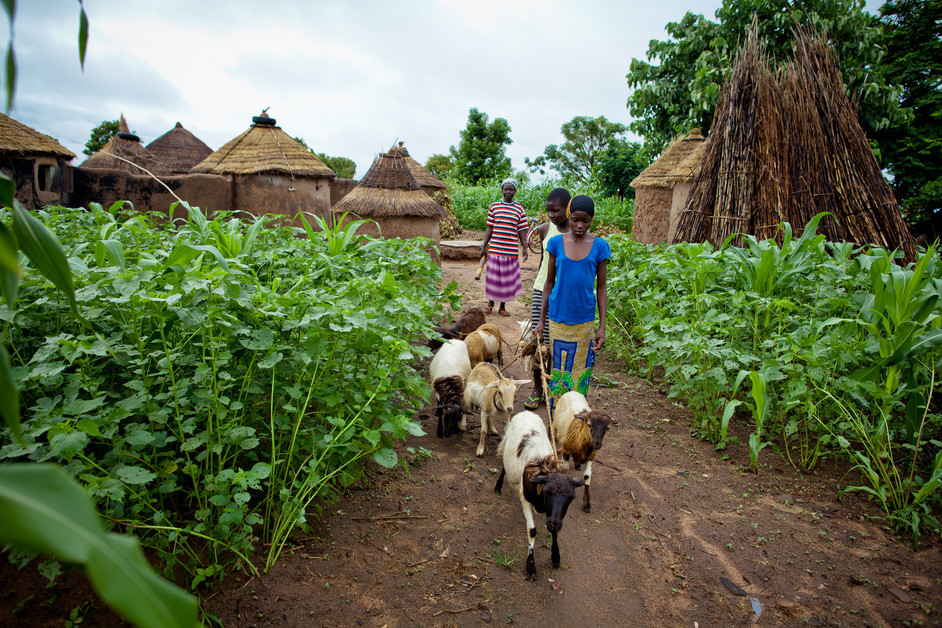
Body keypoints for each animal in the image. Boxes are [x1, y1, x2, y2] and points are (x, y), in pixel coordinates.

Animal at [494, 410, 584, 580]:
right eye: (547, 492)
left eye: (571, 498)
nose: (555, 523)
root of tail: (526, 412)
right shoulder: (526, 500)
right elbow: (532, 531)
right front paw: (530, 566)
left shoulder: (552, 514)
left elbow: (553, 531)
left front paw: (556, 557)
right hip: (506, 445)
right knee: (503, 466)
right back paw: (498, 486)